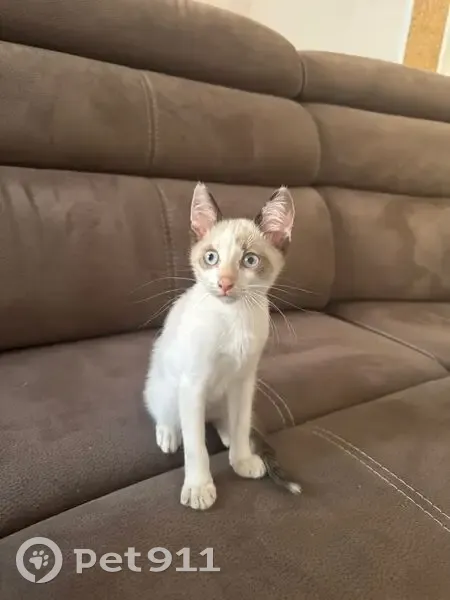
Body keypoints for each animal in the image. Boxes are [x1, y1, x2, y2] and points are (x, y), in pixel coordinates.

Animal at [143, 182, 301, 510]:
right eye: (211, 258)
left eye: (250, 260)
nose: (225, 283)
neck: (234, 318)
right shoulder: (193, 384)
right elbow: (196, 446)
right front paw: (199, 487)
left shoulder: (244, 380)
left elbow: (241, 424)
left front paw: (241, 459)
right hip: (167, 386)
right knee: (165, 411)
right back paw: (168, 433)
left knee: (226, 419)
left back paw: (230, 435)